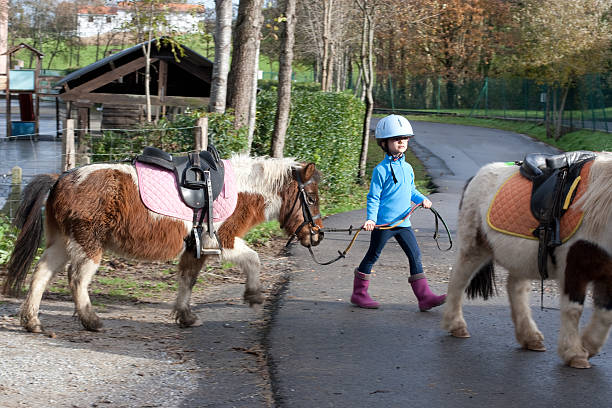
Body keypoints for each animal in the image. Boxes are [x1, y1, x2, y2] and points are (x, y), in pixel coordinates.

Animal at [1, 155, 326, 334]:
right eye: (310, 198)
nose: (318, 235)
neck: (238, 190)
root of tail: (62, 178)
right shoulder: (224, 242)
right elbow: (254, 259)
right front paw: (254, 294)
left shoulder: (195, 248)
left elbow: (187, 279)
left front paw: (185, 316)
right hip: (88, 244)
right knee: (77, 279)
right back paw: (91, 321)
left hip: (61, 242)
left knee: (41, 274)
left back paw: (32, 321)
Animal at [442, 151, 612, 368]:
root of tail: (477, 176)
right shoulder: (573, 267)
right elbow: (573, 309)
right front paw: (574, 353)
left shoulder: (608, 273)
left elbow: (606, 313)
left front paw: (588, 346)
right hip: (475, 248)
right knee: (459, 279)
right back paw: (456, 325)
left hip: (522, 258)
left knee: (515, 287)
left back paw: (530, 337)